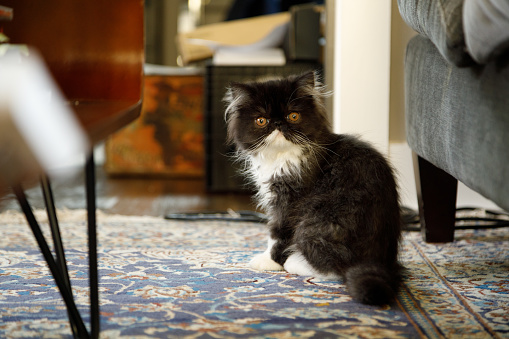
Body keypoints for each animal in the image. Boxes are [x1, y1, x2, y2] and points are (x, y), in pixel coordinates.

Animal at [222, 71, 400, 306]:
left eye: (293, 116)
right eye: (261, 120)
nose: (278, 124)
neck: (282, 157)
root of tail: (378, 259)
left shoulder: (288, 201)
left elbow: (275, 232)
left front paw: (268, 261)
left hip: (315, 223)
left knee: (336, 269)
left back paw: (293, 261)